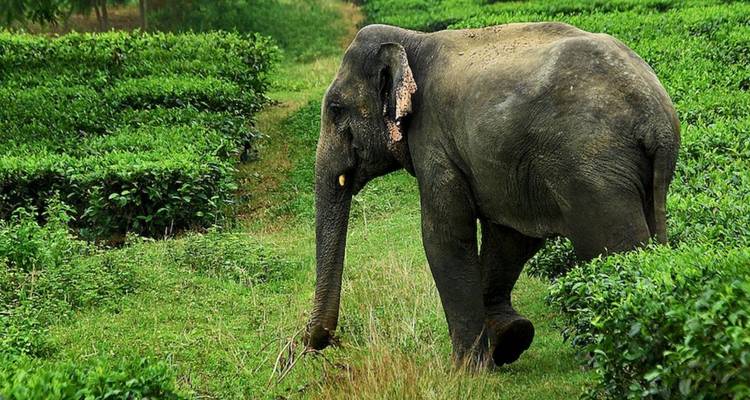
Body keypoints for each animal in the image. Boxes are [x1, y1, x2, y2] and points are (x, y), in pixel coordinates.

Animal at [304, 22, 680, 367]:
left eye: (335, 109)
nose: (319, 342)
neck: (412, 41)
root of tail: (654, 116)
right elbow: (511, 238)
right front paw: (510, 340)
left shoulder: (434, 140)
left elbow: (445, 236)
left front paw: (465, 371)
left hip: (593, 172)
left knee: (615, 248)